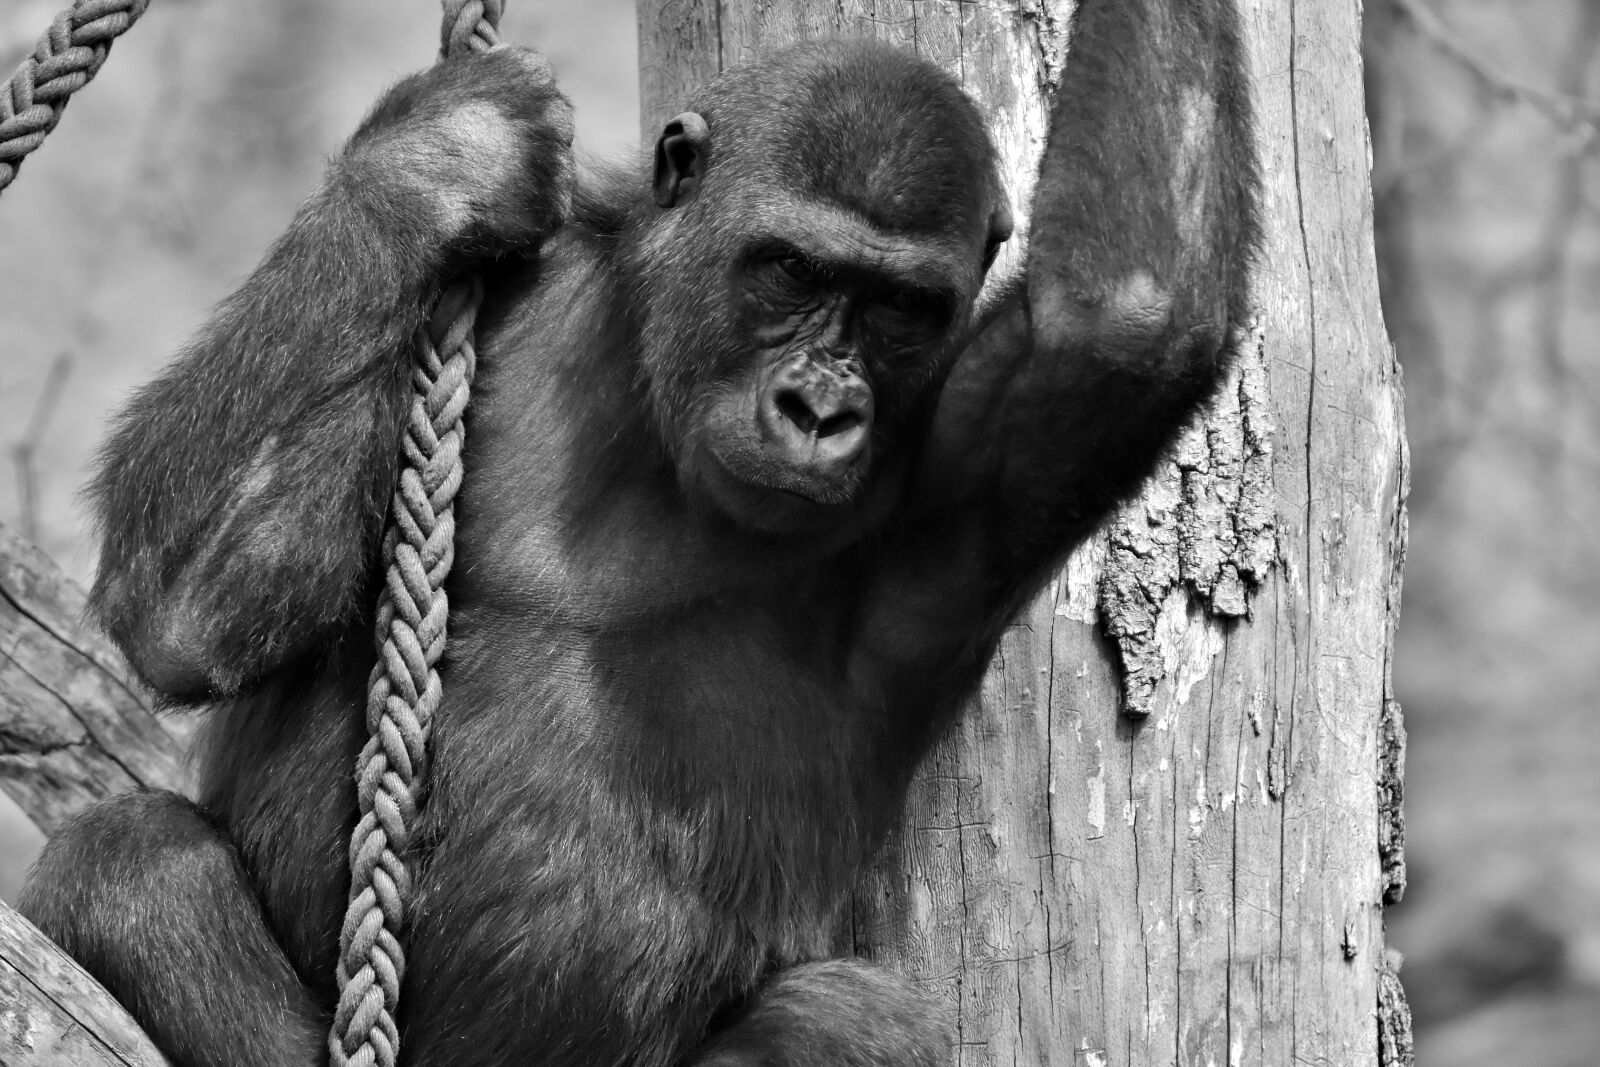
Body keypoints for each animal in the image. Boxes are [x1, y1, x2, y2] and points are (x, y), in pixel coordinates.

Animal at [19, 2, 1257, 1064]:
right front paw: (442, 154)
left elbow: (1121, 314)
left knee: (847, 1023)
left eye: (901, 307)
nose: (821, 404)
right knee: (125, 867)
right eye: (789, 268)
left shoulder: (965, 449)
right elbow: (202, 601)